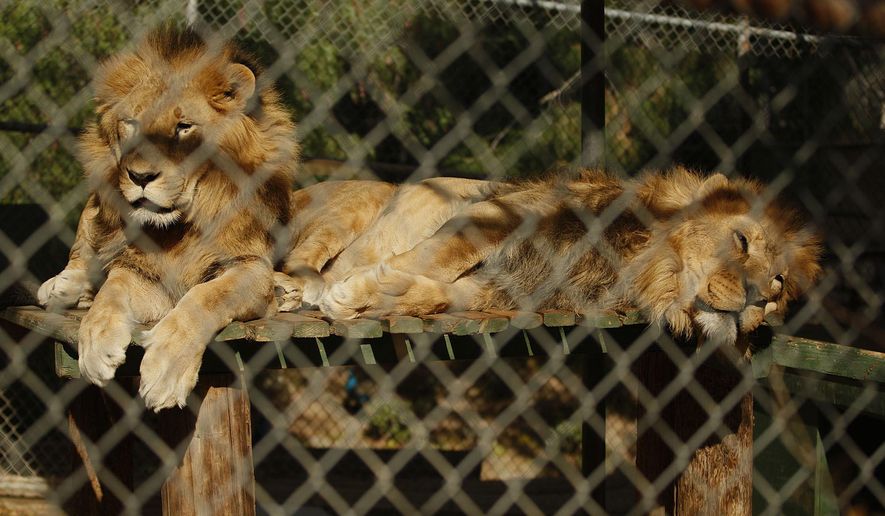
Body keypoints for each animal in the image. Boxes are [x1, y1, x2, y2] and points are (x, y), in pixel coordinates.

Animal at [38, 27, 298, 410]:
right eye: (131, 124)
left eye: (183, 127)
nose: (139, 177)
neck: (183, 226)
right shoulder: (143, 271)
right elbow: (112, 290)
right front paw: (96, 341)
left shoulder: (249, 267)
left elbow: (205, 297)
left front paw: (165, 371)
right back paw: (61, 287)